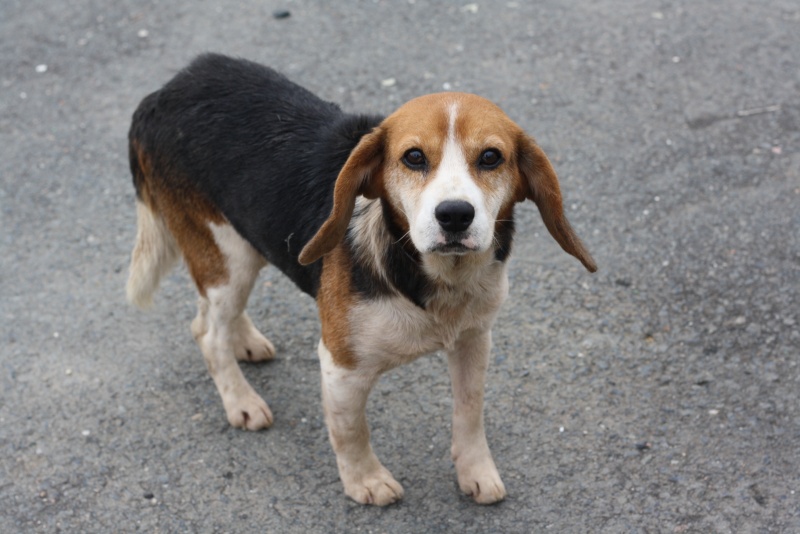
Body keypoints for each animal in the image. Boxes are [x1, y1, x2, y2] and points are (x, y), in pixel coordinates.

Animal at [128, 53, 596, 506]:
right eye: (413, 157)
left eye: (491, 157)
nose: (454, 215)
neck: (436, 282)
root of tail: (163, 92)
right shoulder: (341, 367)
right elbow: (351, 431)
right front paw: (365, 482)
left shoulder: (474, 340)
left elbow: (469, 412)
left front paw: (476, 472)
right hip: (228, 254)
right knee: (207, 330)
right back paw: (240, 401)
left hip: (243, 245)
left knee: (213, 312)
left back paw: (244, 341)